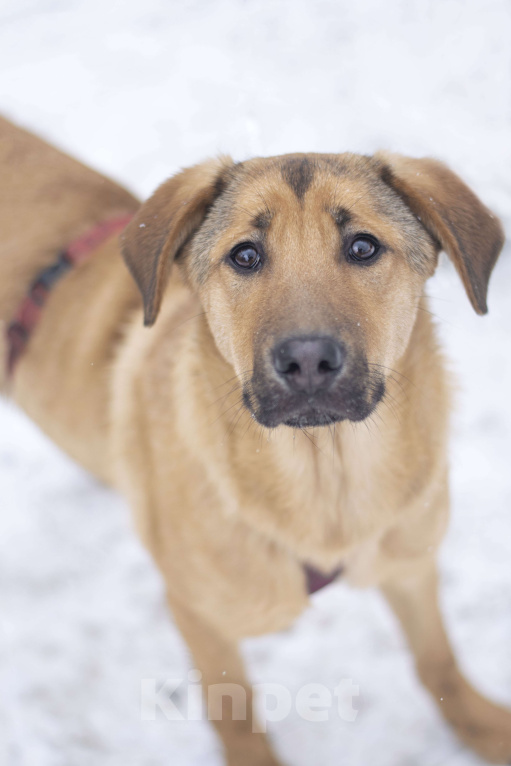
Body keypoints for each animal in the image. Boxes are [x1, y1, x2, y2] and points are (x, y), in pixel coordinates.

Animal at [1, 115, 511, 766]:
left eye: (363, 246)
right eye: (245, 255)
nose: (308, 359)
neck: (328, 486)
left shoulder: (410, 562)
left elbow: (438, 662)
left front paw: (486, 728)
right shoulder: (200, 616)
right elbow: (236, 714)